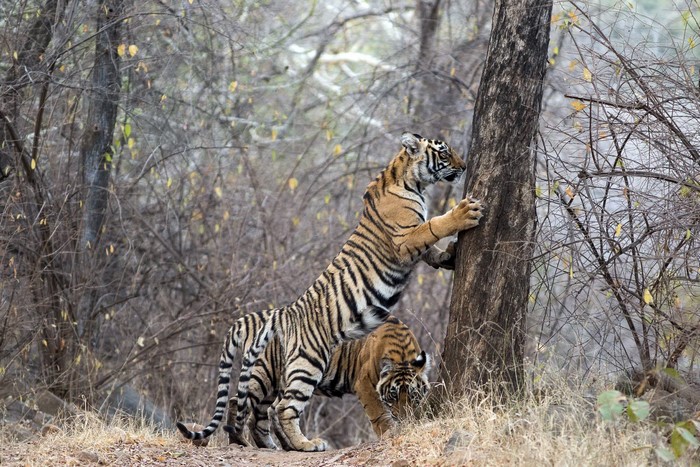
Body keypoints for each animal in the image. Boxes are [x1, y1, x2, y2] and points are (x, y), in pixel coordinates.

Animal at [224, 316, 431, 450]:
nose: (404, 417)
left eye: (412, 395)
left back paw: (277, 446)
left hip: (276, 386)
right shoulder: (364, 384)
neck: (402, 355)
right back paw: (239, 442)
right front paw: (390, 432)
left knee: (264, 414)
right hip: (265, 374)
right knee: (237, 402)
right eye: (393, 395)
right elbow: (378, 413)